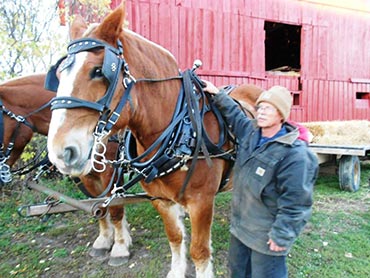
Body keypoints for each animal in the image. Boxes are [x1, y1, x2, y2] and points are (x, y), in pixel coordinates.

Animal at [0, 74, 133, 268]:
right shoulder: (88, 177)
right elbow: (99, 208)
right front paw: (104, 241)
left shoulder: (111, 172)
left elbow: (115, 211)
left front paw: (120, 248)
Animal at [45, 2, 260, 278]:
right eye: (59, 76)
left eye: (98, 71)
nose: (61, 152)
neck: (180, 129)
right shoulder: (161, 200)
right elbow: (175, 238)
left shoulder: (201, 201)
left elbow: (199, 251)